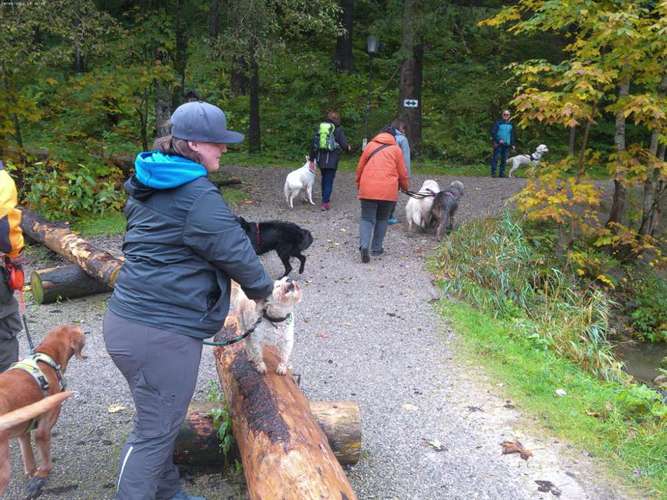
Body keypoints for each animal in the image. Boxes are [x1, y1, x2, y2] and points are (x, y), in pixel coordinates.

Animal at [0, 324, 86, 496]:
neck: (47, 357)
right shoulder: (44, 425)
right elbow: (44, 453)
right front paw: (42, 474)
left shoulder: (23, 428)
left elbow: (28, 456)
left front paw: (32, 472)